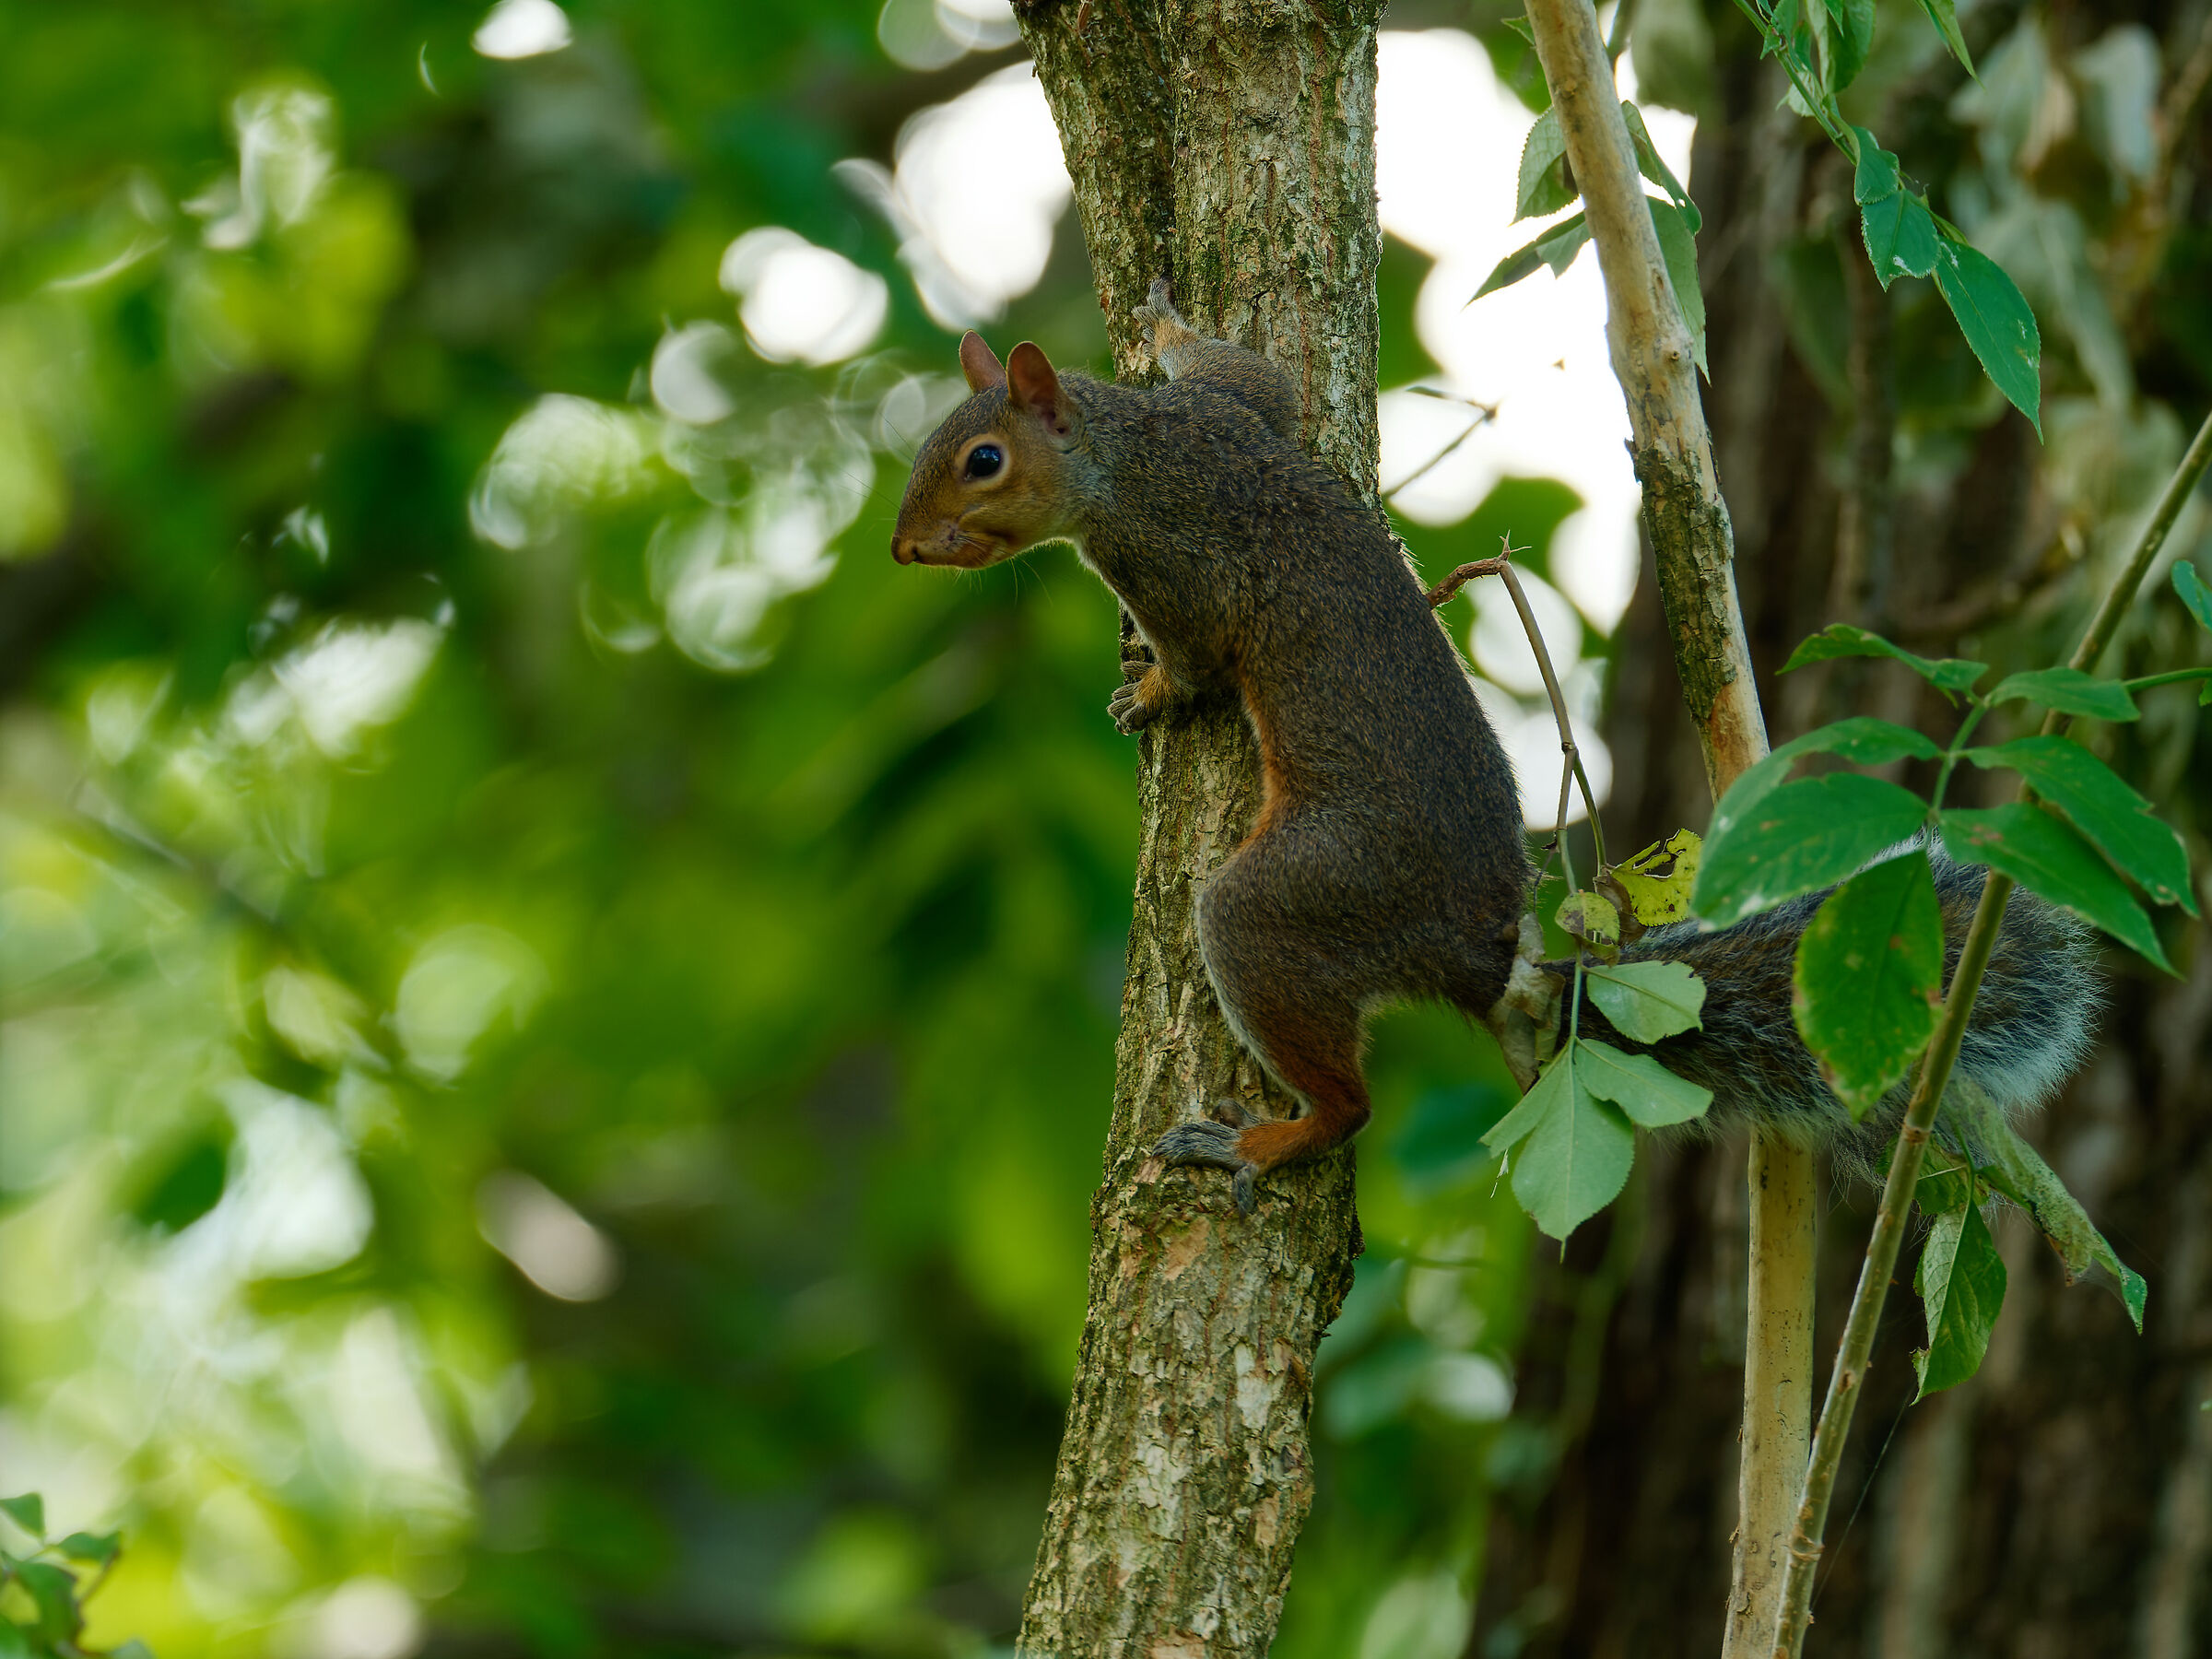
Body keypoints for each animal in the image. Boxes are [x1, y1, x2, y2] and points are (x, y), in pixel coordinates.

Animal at [891, 282, 2099, 1213]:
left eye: (983, 461)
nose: (905, 548)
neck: (1130, 452)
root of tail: (1476, 954)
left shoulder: (1177, 561)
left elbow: (1195, 664)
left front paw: (1147, 692)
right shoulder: (1229, 412)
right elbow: (1259, 378)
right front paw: (1165, 319)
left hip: (1306, 898)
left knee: (1347, 1096)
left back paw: (1267, 1140)